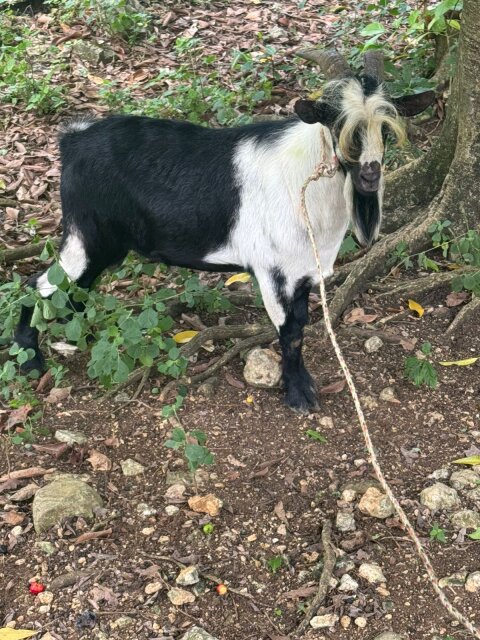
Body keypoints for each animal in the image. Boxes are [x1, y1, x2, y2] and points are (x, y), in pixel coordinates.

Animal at [14, 50, 434, 412]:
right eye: (336, 124)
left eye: (386, 129)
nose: (369, 175)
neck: (305, 184)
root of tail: (72, 140)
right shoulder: (273, 271)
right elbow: (289, 331)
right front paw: (299, 395)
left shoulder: (302, 272)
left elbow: (300, 325)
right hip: (87, 234)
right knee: (38, 284)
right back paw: (29, 361)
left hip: (103, 245)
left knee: (74, 287)